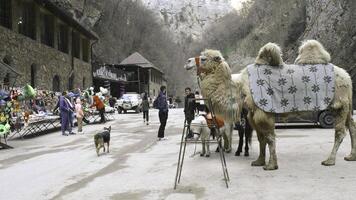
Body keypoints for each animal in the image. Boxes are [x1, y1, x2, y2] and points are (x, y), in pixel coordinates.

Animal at [184, 40, 356, 170]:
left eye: (204, 58)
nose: (187, 62)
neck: (240, 88)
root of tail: (347, 76)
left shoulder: (263, 112)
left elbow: (269, 138)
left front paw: (271, 165)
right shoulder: (252, 114)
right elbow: (261, 138)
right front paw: (259, 161)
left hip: (338, 105)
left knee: (340, 132)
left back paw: (329, 160)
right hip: (346, 104)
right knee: (352, 126)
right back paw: (351, 156)